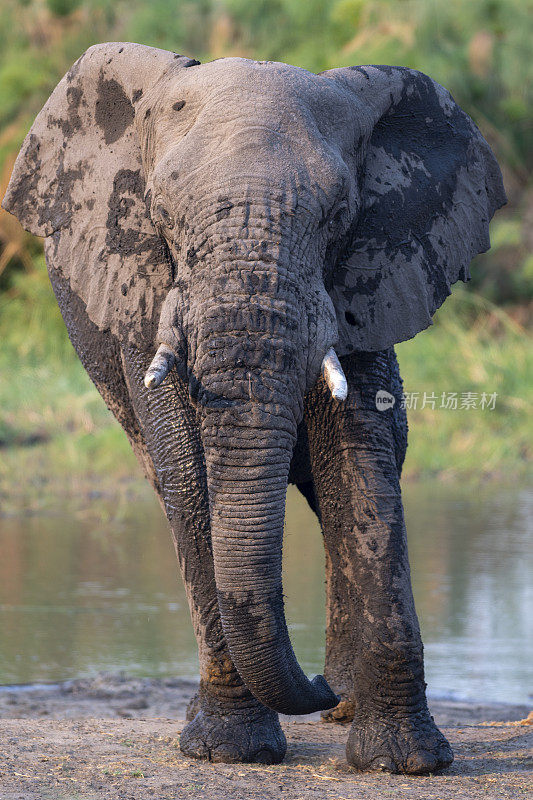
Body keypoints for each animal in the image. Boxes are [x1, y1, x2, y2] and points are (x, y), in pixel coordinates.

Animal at [3, 40, 502, 772]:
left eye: (337, 215)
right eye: (161, 212)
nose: (316, 683)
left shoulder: (365, 277)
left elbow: (359, 463)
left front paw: (403, 761)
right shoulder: (141, 288)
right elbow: (188, 472)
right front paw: (228, 750)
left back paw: (345, 703)